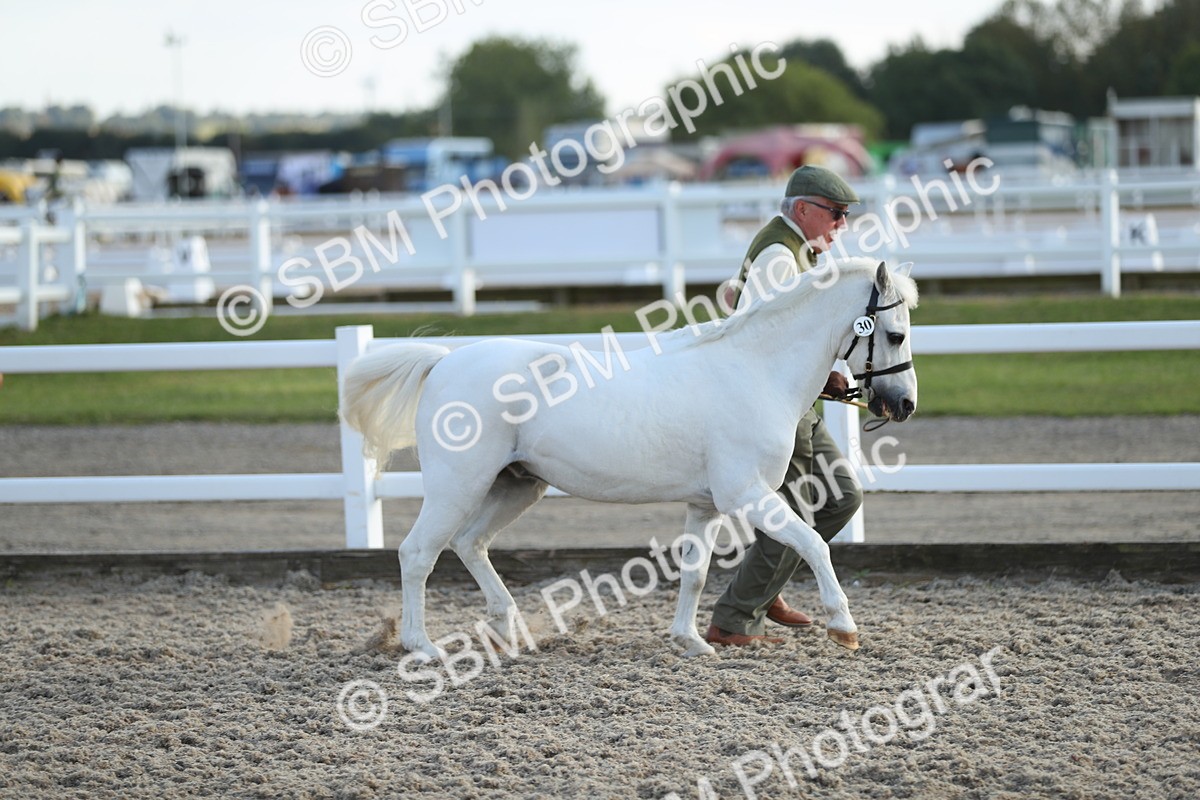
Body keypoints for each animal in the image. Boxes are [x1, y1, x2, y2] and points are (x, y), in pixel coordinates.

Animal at [340, 258, 918, 661]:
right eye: (895, 333)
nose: (904, 405)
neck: (755, 370)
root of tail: (443, 363)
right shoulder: (746, 495)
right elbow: (814, 543)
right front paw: (844, 628)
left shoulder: (706, 505)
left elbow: (695, 572)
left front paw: (690, 642)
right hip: (457, 485)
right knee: (419, 553)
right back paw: (423, 647)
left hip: (516, 485)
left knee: (469, 544)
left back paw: (509, 632)